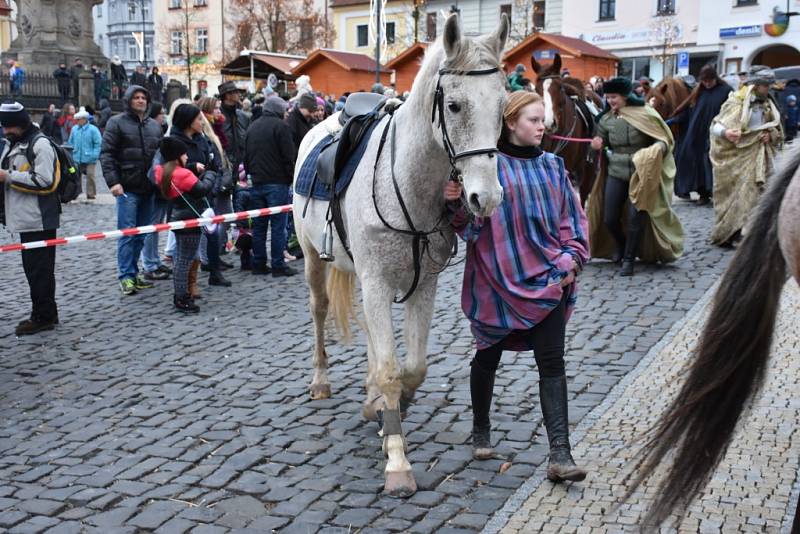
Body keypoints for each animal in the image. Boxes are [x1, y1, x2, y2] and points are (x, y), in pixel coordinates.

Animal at [292, 13, 506, 498]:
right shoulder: (375, 282)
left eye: (502, 105)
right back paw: (320, 381)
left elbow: (414, 367)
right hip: (314, 258)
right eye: (455, 106)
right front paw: (396, 460)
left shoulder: (422, 285)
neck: (408, 184)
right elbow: (392, 369)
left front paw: (386, 407)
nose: (485, 198)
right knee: (318, 310)